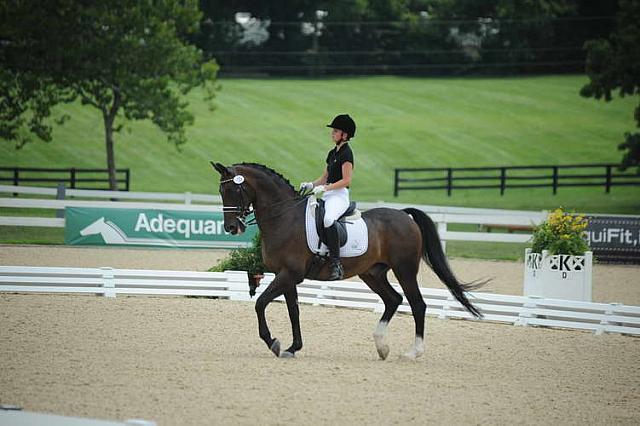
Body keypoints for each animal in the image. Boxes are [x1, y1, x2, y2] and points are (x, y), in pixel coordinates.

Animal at [210, 162, 484, 360]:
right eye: (221, 191)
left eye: (233, 190)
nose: (231, 227)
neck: (284, 217)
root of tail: (405, 216)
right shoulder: (286, 276)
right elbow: (293, 311)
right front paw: (293, 347)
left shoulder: (289, 274)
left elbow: (260, 304)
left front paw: (274, 343)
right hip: (372, 273)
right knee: (393, 300)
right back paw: (381, 347)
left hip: (404, 270)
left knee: (417, 304)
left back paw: (412, 352)